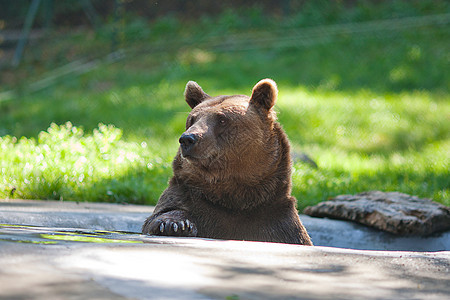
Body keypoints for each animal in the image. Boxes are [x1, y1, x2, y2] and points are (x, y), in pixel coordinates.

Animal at [142, 78, 312, 245]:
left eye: (222, 119)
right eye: (192, 119)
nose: (187, 139)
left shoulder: (277, 222)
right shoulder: (187, 197)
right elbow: (166, 212)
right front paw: (174, 224)